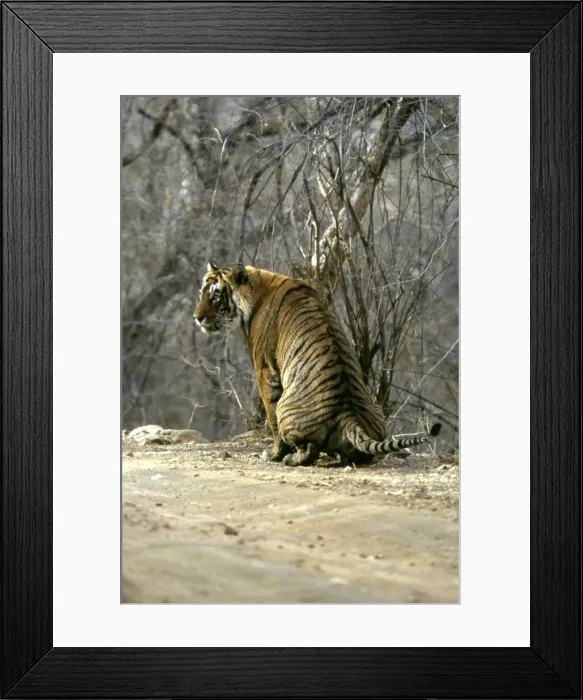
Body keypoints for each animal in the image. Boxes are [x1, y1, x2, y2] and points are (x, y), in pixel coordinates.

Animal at [194, 262, 441, 466]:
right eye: (201, 294)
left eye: (216, 296)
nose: (197, 318)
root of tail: (348, 414)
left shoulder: (264, 370)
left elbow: (271, 419)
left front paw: (273, 454)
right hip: (377, 414)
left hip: (286, 408)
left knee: (308, 448)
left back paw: (293, 458)